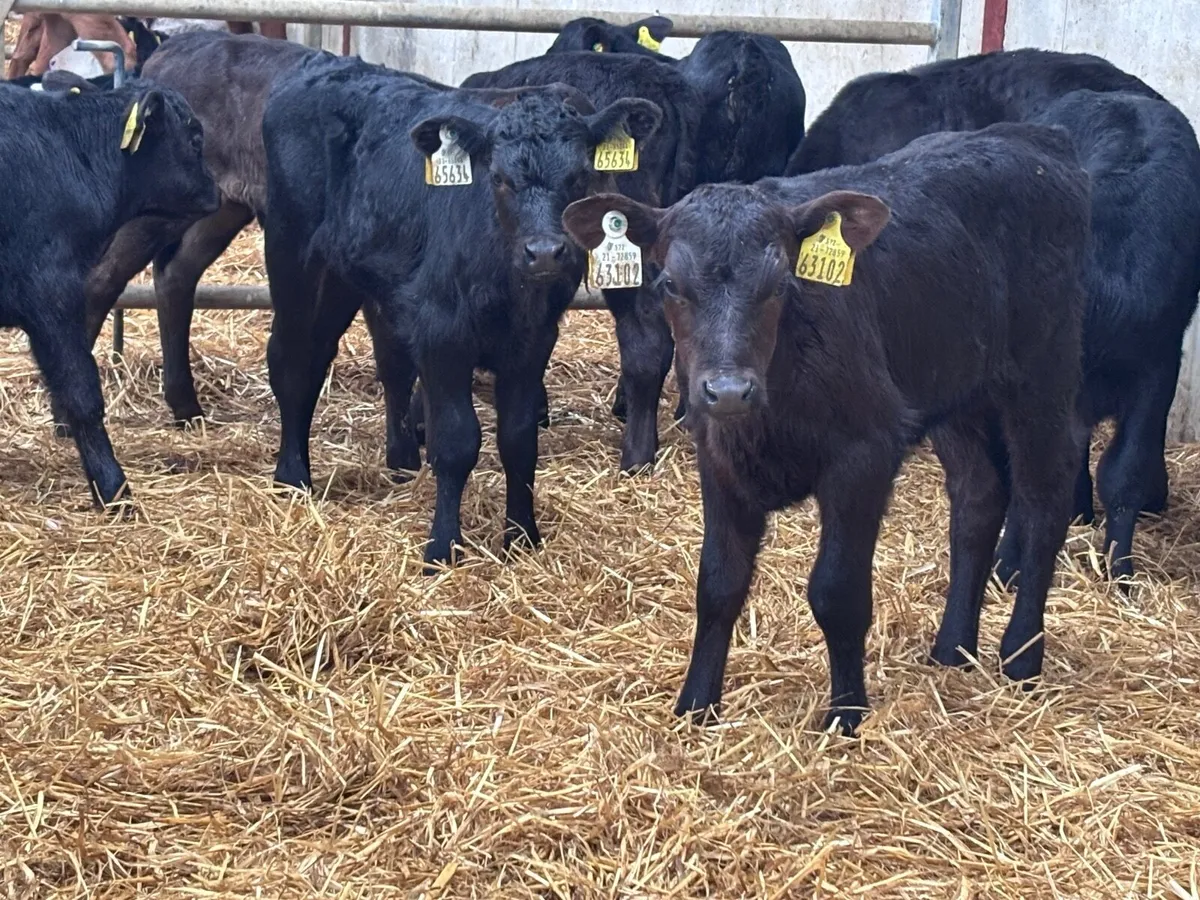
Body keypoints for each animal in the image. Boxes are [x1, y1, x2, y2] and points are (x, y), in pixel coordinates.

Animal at [263, 54, 662, 567]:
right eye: (499, 178)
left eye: (579, 177)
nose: (545, 253)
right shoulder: (443, 334)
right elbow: (456, 441)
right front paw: (443, 545)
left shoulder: (533, 342)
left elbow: (519, 439)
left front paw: (522, 536)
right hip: (293, 256)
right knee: (292, 362)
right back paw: (292, 477)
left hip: (344, 277)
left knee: (351, 360)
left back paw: (400, 464)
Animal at [563, 122, 1092, 732]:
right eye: (670, 283)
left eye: (779, 284)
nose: (728, 390)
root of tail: (1034, 137)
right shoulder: (717, 457)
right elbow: (718, 584)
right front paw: (696, 706)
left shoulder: (865, 453)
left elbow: (837, 592)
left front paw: (846, 714)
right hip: (957, 393)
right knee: (978, 499)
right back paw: (952, 648)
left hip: (1043, 375)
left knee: (1044, 500)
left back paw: (1022, 655)